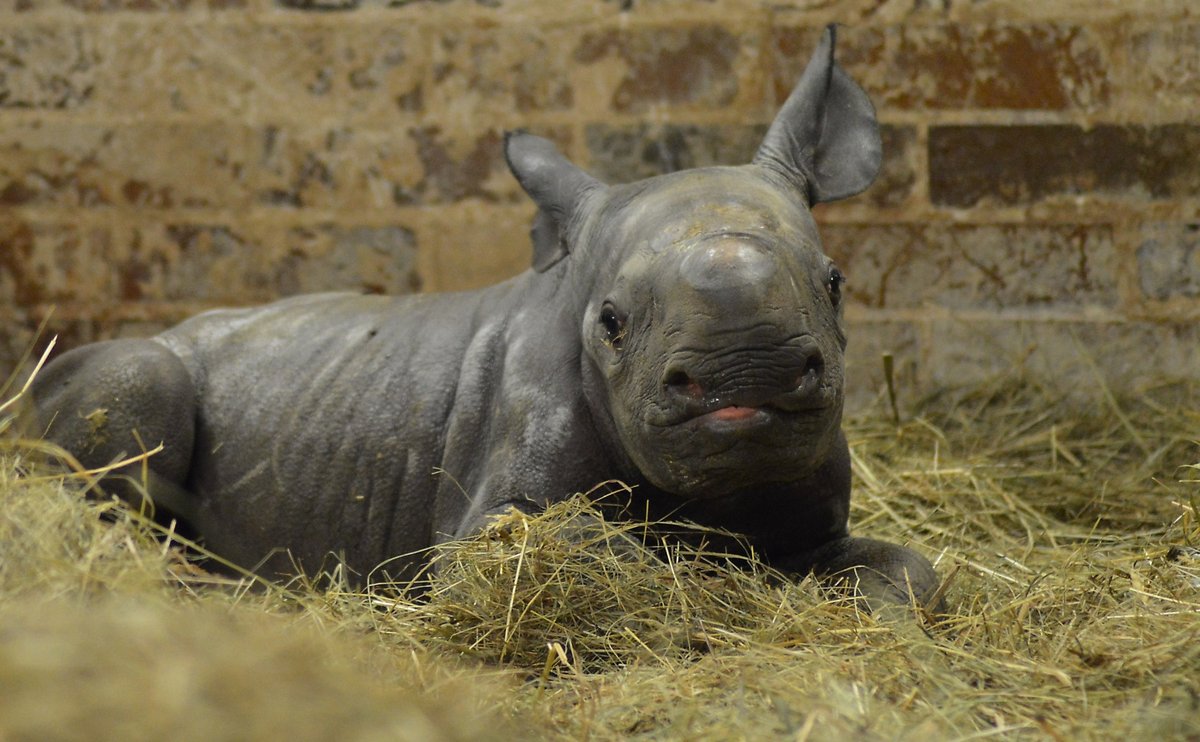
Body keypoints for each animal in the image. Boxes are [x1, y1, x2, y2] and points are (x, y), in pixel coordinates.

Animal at [28, 27, 936, 607]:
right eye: (610, 323)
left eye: (835, 284)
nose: (745, 372)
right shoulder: (481, 523)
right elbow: (580, 545)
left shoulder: (811, 519)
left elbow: (910, 578)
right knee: (134, 387)